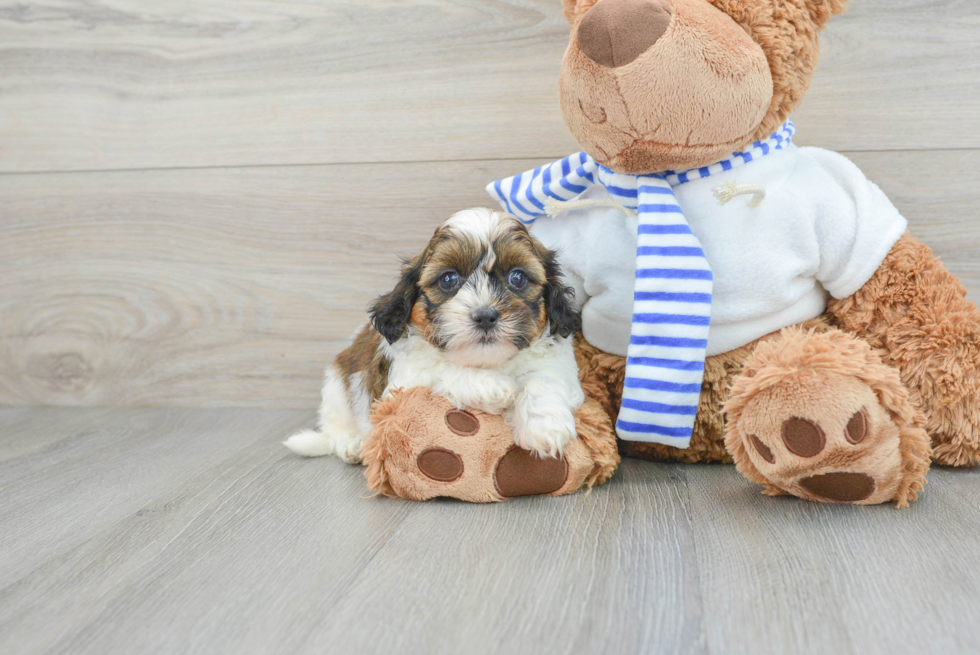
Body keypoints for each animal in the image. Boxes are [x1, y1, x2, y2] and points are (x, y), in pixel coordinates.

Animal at [288, 208, 584, 464]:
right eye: (448, 279)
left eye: (518, 278)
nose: (485, 315)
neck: (488, 362)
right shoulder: (402, 384)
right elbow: (440, 369)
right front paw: (493, 387)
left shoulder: (557, 359)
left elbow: (543, 377)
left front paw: (544, 424)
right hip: (336, 388)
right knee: (334, 427)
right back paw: (351, 444)